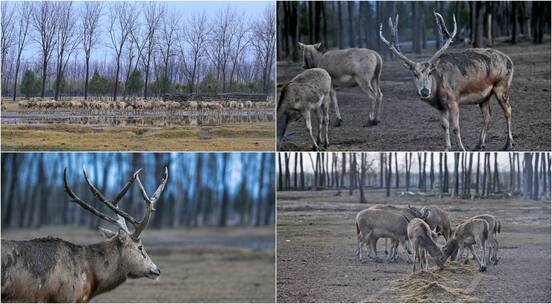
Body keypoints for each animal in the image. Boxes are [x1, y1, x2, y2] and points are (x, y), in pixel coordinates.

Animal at [380, 12, 512, 151]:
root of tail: (509, 60)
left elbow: (456, 127)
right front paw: (447, 148)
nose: (425, 91)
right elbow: (445, 126)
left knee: (508, 111)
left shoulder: (453, 100)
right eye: (415, 74)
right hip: (484, 96)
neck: (438, 90)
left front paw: (462, 148)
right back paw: (479, 144)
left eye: (430, 72)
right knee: (488, 117)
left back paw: (508, 144)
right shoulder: (441, 107)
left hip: (502, 85)